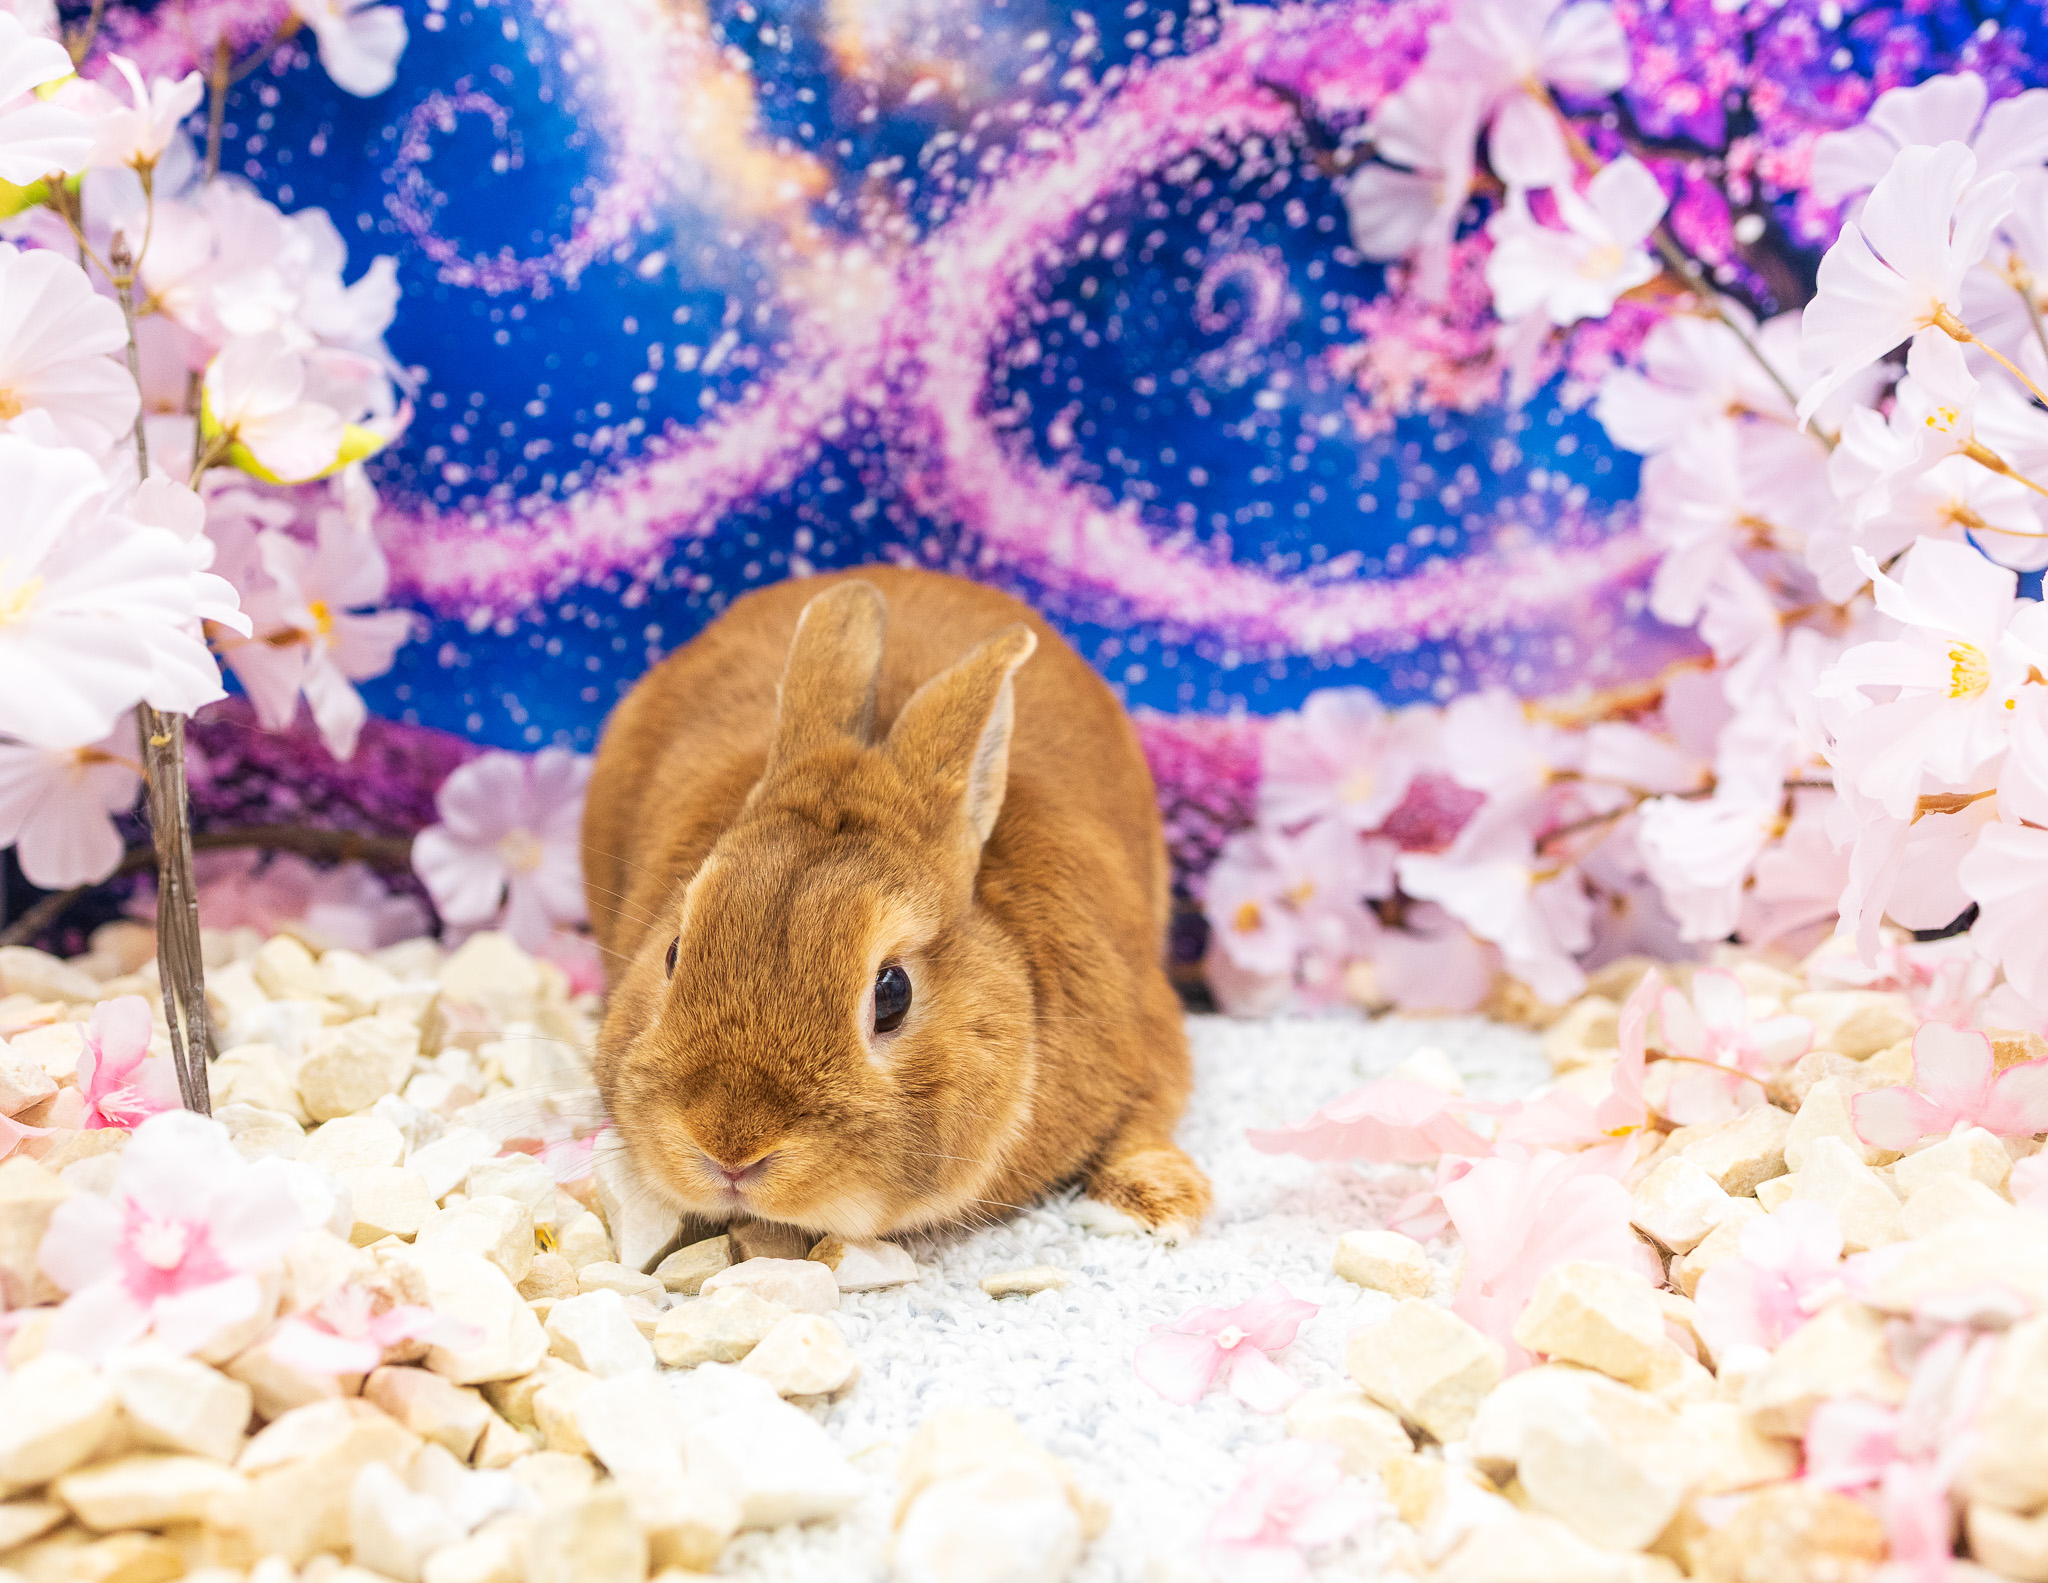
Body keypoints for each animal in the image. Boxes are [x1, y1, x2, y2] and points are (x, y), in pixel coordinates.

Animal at [582, 566, 1212, 1242]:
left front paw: (1156, 1205)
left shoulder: (1150, 1038)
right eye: (673, 953)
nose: (729, 1149)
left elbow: (1148, 1117)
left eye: (892, 993)